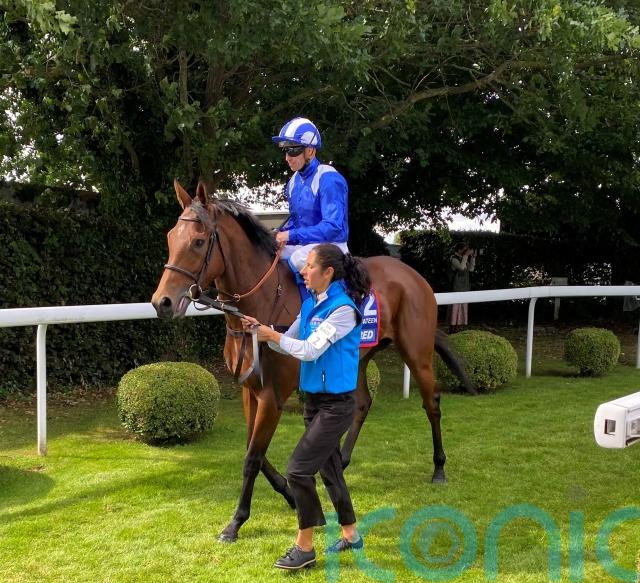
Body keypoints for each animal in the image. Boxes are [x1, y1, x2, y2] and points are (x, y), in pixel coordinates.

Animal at [151, 180, 474, 542]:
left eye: (198, 241)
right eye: (170, 238)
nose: (162, 302)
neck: (260, 304)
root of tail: (414, 275)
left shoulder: (273, 396)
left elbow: (252, 457)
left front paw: (235, 522)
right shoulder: (249, 390)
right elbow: (253, 449)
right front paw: (291, 493)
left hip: (416, 354)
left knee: (431, 402)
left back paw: (439, 467)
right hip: (357, 359)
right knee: (362, 403)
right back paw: (342, 461)